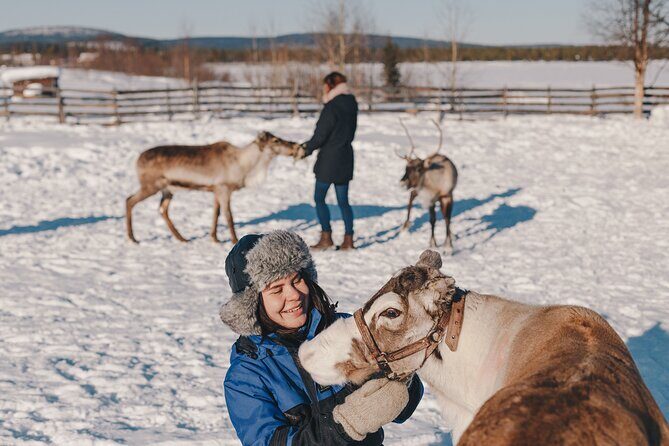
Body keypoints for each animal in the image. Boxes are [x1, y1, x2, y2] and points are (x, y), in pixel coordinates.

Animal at [125, 131, 301, 244]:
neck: (245, 166)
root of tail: (137, 160)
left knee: (162, 209)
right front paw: (234, 240)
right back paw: (133, 238)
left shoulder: (216, 190)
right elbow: (229, 216)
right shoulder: (224, 189)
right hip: (150, 186)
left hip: (167, 190)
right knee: (129, 200)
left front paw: (215, 238)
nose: (294, 146)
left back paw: (182, 238)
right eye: (276, 141)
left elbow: (216, 214)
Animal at [397, 119, 458, 249]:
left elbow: (447, 218)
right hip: (419, 190)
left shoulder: (447, 196)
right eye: (406, 168)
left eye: (418, 169)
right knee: (412, 196)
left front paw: (448, 246)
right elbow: (432, 220)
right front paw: (433, 243)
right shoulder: (429, 199)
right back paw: (405, 226)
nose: (402, 182)